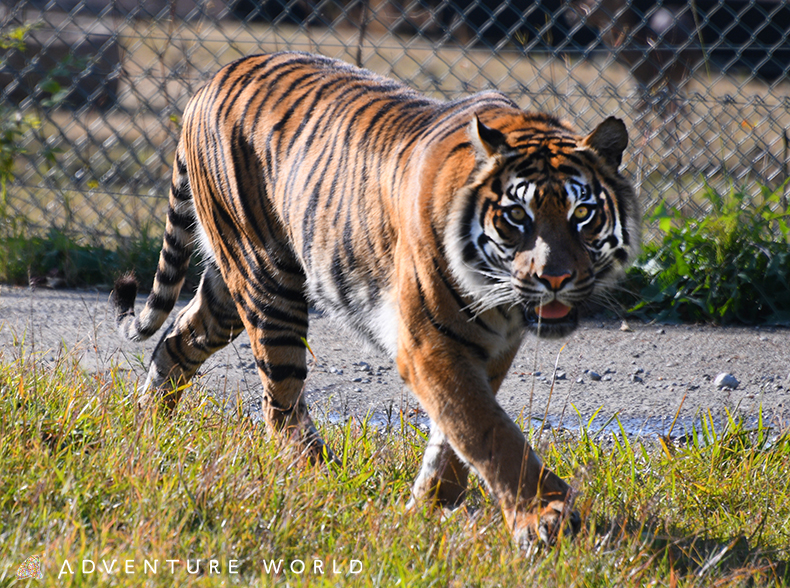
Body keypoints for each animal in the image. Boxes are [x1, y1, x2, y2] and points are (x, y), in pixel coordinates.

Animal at [113, 50, 644, 548]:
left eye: (582, 214)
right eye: (517, 215)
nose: (555, 278)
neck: (498, 298)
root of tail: (217, 75)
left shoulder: (489, 348)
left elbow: (458, 431)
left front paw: (434, 507)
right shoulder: (428, 342)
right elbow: (487, 428)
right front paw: (543, 518)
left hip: (228, 289)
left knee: (177, 340)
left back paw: (148, 425)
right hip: (267, 279)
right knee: (278, 402)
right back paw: (321, 478)